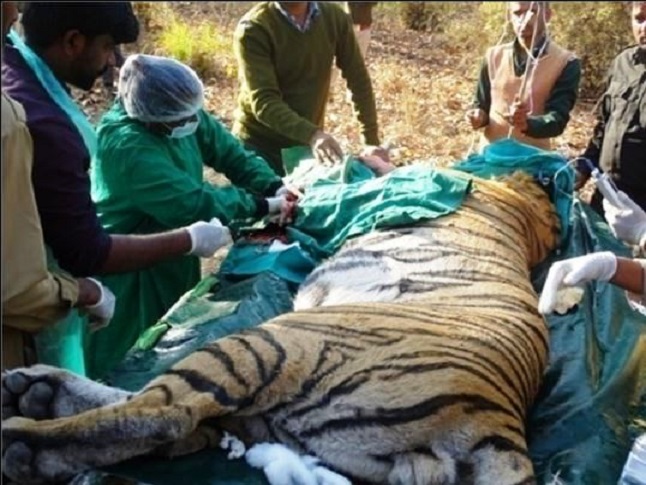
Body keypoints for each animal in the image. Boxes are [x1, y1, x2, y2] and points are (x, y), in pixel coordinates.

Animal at [1, 169, 559, 485]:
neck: (527, 221)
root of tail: (504, 424)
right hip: (274, 412)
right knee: (176, 421)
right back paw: (35, 394)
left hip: (265, 344)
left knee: (165, 414)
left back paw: (24, 434)